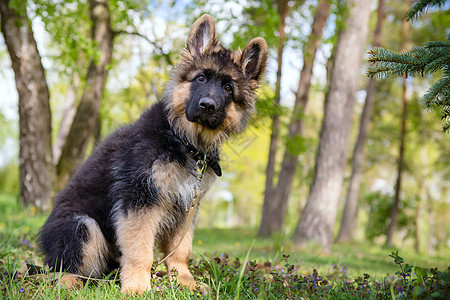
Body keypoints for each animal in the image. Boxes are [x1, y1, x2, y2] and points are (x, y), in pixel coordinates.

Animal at [39, 14, 268, 292]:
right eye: (201, 78)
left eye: (227, 87)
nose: (207, 106)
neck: (182, 139)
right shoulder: (140, 199)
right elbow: (140, 250)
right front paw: (137, 287)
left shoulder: (186, 205)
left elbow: (180, 250)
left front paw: (184, 281)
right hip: (82, 225)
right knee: (63, 269)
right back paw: (71, 283)